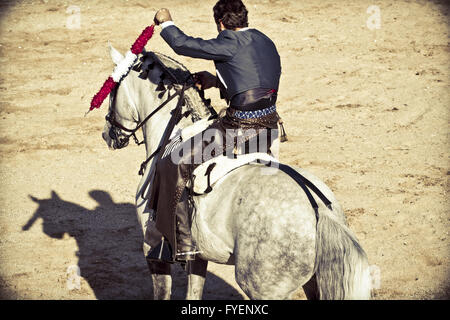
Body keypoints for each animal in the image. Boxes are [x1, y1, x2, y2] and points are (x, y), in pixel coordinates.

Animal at [102, 46, 372, 302]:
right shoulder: (198, 255)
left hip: (263, 287)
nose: (107, 134)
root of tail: (319, 210)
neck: (172, 134)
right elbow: (194, 291)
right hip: (313, 281)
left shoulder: (152, 248)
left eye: (111, 91)